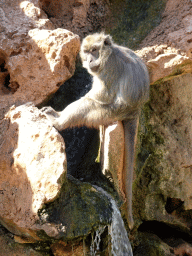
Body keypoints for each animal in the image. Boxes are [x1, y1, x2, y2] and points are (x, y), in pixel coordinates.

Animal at [41, 33, 150, 229]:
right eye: (86, 51)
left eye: (94, 50)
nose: (90, 59)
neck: (108, 54)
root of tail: (135, 110)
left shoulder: (108, 70)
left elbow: (100, 96)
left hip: (113, 111)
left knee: (89, 105)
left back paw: (59, 121)